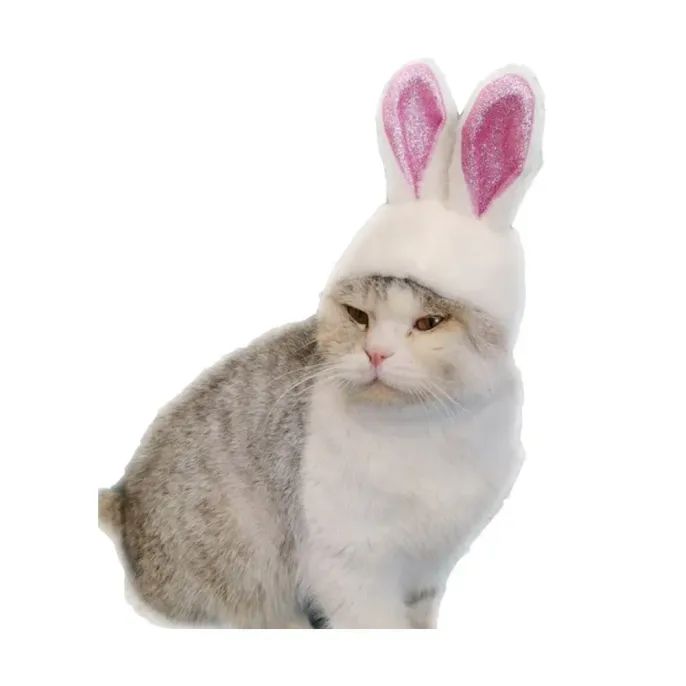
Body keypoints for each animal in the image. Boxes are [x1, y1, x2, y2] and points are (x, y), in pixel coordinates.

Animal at [98, 59, 545, 629]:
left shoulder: (427, 571)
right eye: (358, 316)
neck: (422, 430)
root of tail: (124, 503)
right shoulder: (351, 568)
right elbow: (377, 624)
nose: (376, 353)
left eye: (429, 322)